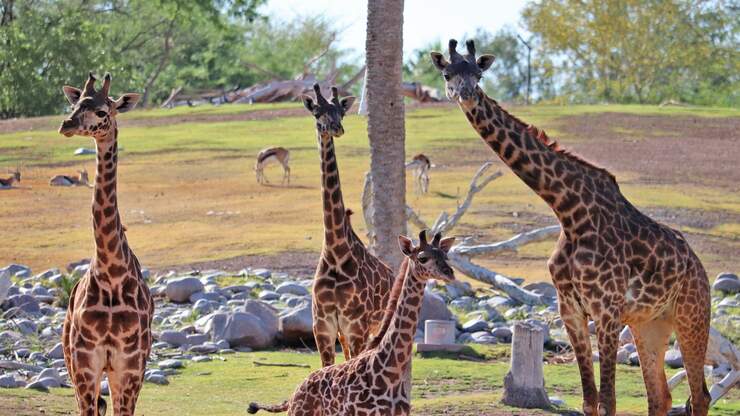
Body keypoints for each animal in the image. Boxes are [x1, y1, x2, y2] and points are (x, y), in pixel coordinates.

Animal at [59, 72, 155, 416]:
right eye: (74, 105)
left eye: (102, 111)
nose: (66, 125)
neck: (112, 273)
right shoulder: (85, 365)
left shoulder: (130, 367)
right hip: (70, 360)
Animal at [250, 231, 456, 416]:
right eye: (423, 258)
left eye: (445, 256)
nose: (450, 274)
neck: (390, 371)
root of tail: (295, 393)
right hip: (299, 412)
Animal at [300, 84, 396, 368]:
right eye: (317, 111)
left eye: (340, 111)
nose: (336, 128)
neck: (336, 252)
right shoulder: (323, 326)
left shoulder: (355, 325)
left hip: (374, 325)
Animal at [430, 39, 712, 416]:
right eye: (448, 73)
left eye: (479, 73)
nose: (467, 94)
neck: (569, 212)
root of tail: (699, 268)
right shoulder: (571, 311)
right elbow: (589, 399)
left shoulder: (607, 311)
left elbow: (608, 401)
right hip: (650, 324)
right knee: (661, 398)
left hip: (692, 316)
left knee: (699, 396)